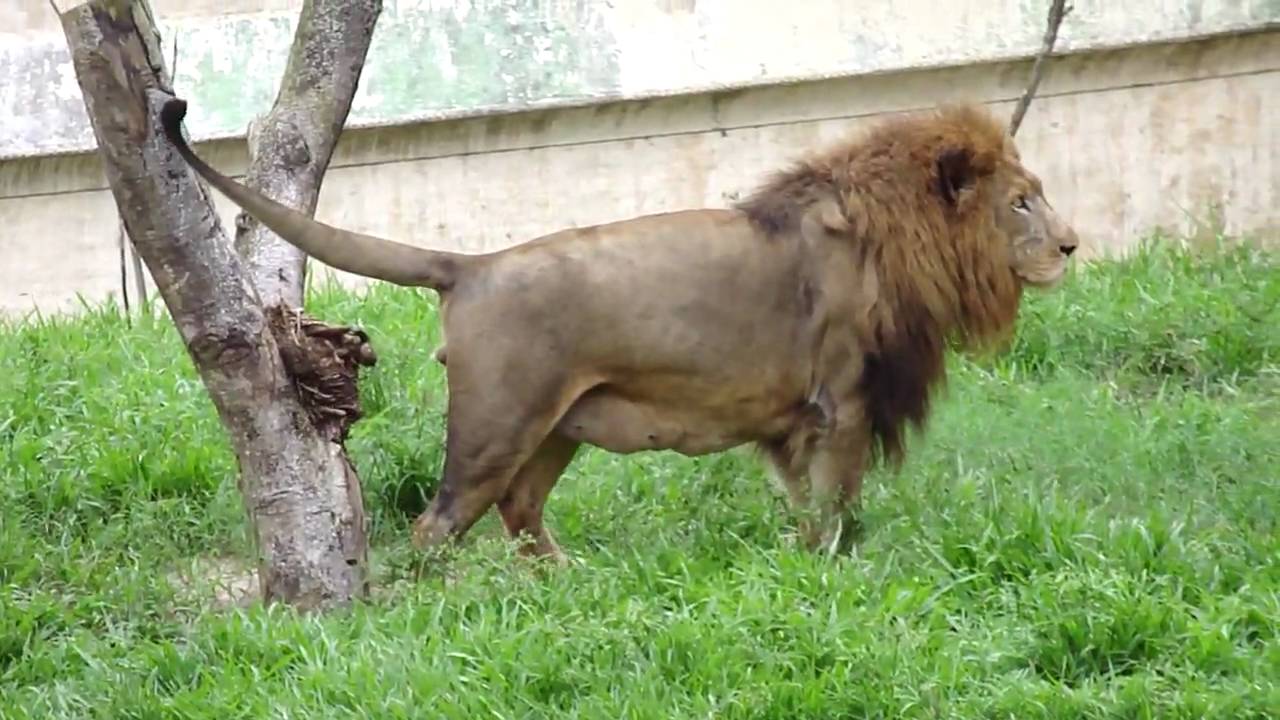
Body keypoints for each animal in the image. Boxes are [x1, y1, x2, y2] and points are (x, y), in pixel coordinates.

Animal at [159, 98, 1079, 559]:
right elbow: (840, 506)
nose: (1072, 245)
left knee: (520, 509)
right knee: (437, 525)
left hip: (557, 426)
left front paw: (807, 558)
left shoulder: (799, 419)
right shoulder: (843, 402)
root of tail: (472, 265)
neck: (893, 238)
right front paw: (842, 570)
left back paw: (563, 585)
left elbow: (806, 506)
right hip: (497, 423)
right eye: (1021, 203)